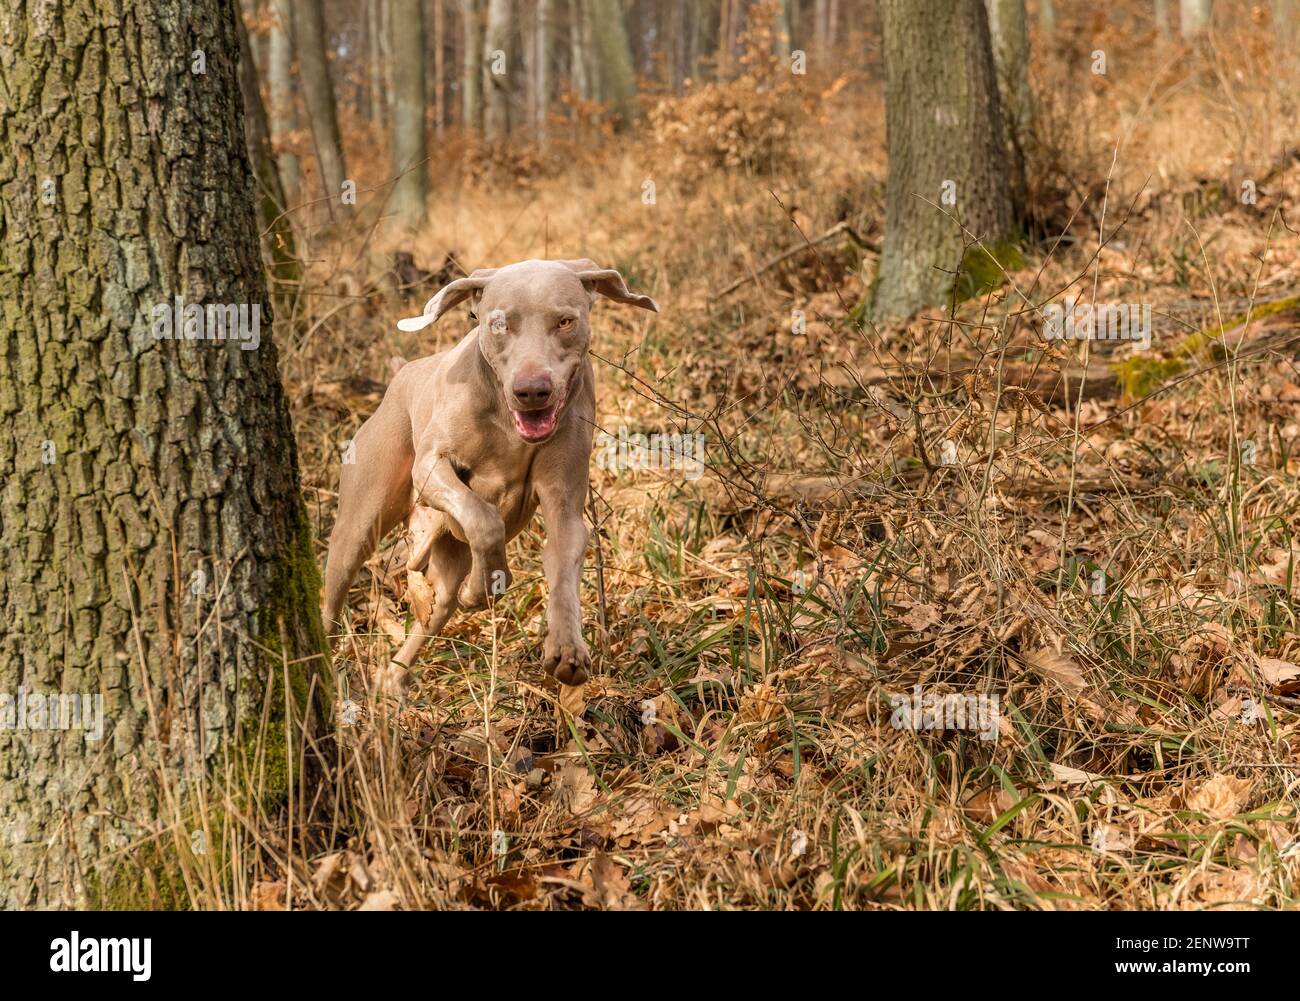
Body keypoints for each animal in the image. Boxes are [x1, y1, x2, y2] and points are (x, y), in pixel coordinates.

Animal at [315, 257, 660, 691]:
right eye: (499, 325)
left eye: (565, 321)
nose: (532, 390)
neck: (507, 422)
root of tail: (404, 372)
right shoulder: (430, 466)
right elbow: (485, 519)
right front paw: (485, 586)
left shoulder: (564, 502)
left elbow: (563, 560)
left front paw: (566, 648)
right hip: (360, 521)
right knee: (334, 592)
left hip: (444, 551)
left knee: (439, 603)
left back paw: (392, 679)